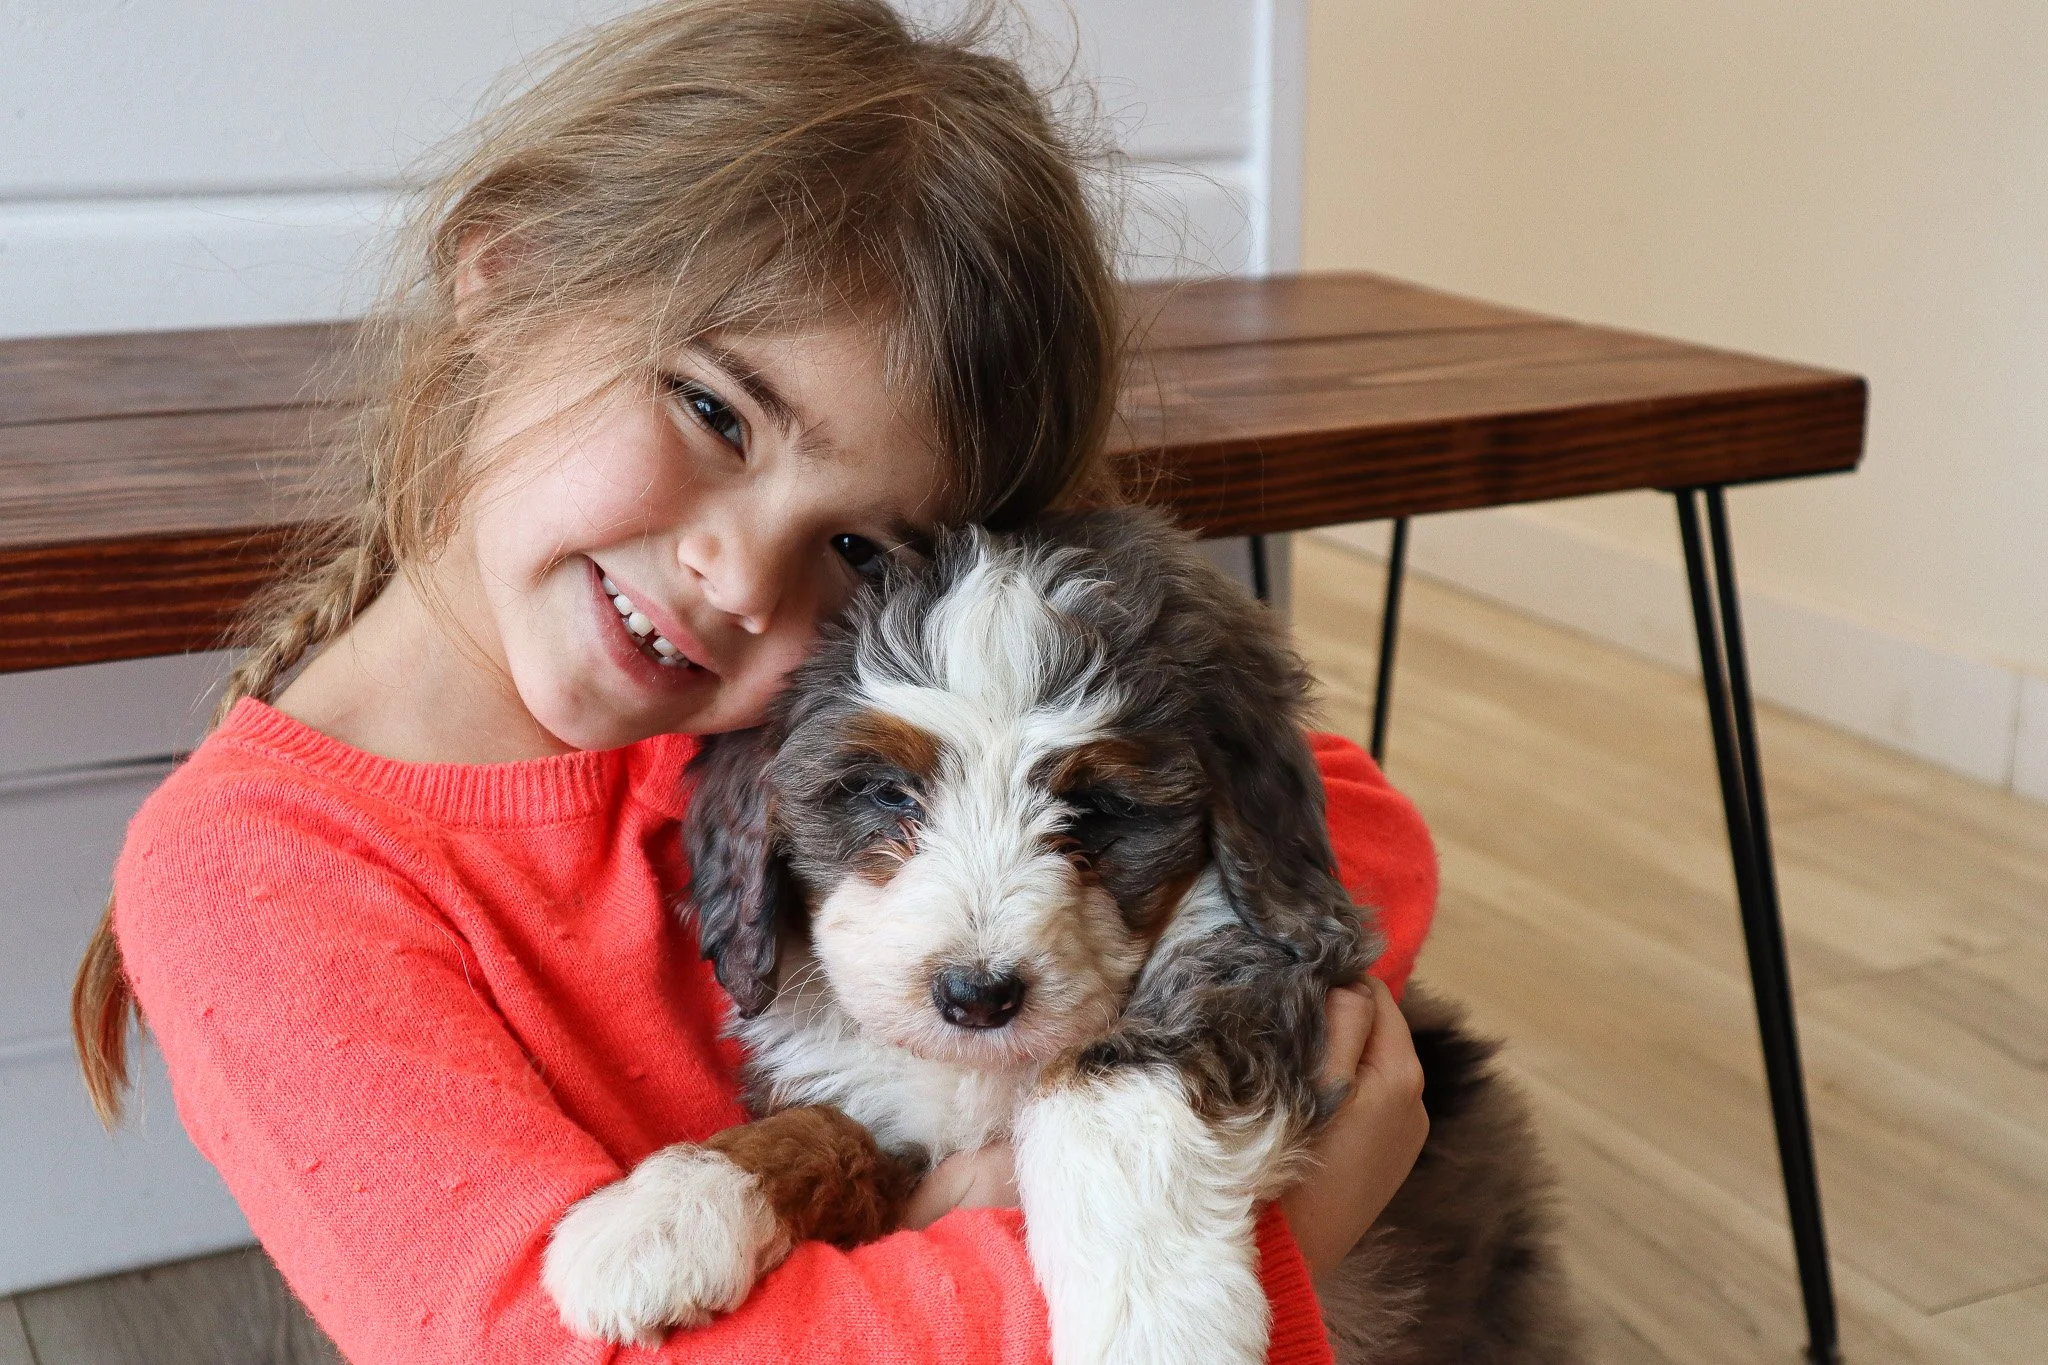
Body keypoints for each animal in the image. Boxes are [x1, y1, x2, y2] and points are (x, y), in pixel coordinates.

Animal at [543, 508, 1579, 1362]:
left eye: (1095, 807)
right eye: (886, 794)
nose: (976, 995)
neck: (984, 1074)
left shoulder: (1259, 957)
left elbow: (1106, 1087)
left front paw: (1161, 1323)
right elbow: (821, 1126)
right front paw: (666, 1211)